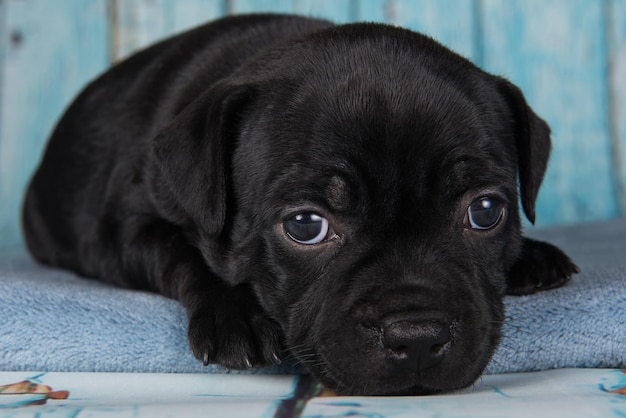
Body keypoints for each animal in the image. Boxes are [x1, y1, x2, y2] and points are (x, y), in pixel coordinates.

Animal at [24, 14, 580, 396]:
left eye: (485, 212)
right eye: (306, 226)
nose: (419, 336)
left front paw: (532, 254)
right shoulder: (129, 226)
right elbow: (181, 253)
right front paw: (236, 315)